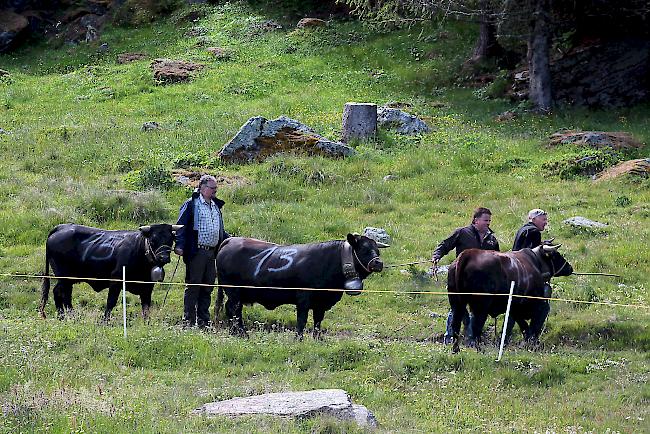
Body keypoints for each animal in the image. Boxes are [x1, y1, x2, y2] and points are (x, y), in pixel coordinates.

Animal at [40, 224, 178, 318]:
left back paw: (63, 317)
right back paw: (70, 317)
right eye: (153, 240)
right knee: (64, 295)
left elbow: (146, 307)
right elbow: (111, 302)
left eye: (170, 240)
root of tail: (62, 226)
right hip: (65, 277)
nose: (164, 257)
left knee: (59, 292)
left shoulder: (147, 286)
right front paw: (104, 321)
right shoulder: (116, 281)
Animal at [215, 234, 384, 340]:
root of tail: (231, 240)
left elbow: (318, 321)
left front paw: (318, 339)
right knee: (234, 310)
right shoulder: (304, 297)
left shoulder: (321, 302)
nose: (379, 263)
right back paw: (242, 334)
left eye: (377, 250)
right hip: (233, 290)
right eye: (364, 249)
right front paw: (299, 339)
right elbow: (302, 320)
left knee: (230, 310)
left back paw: (235, 333)